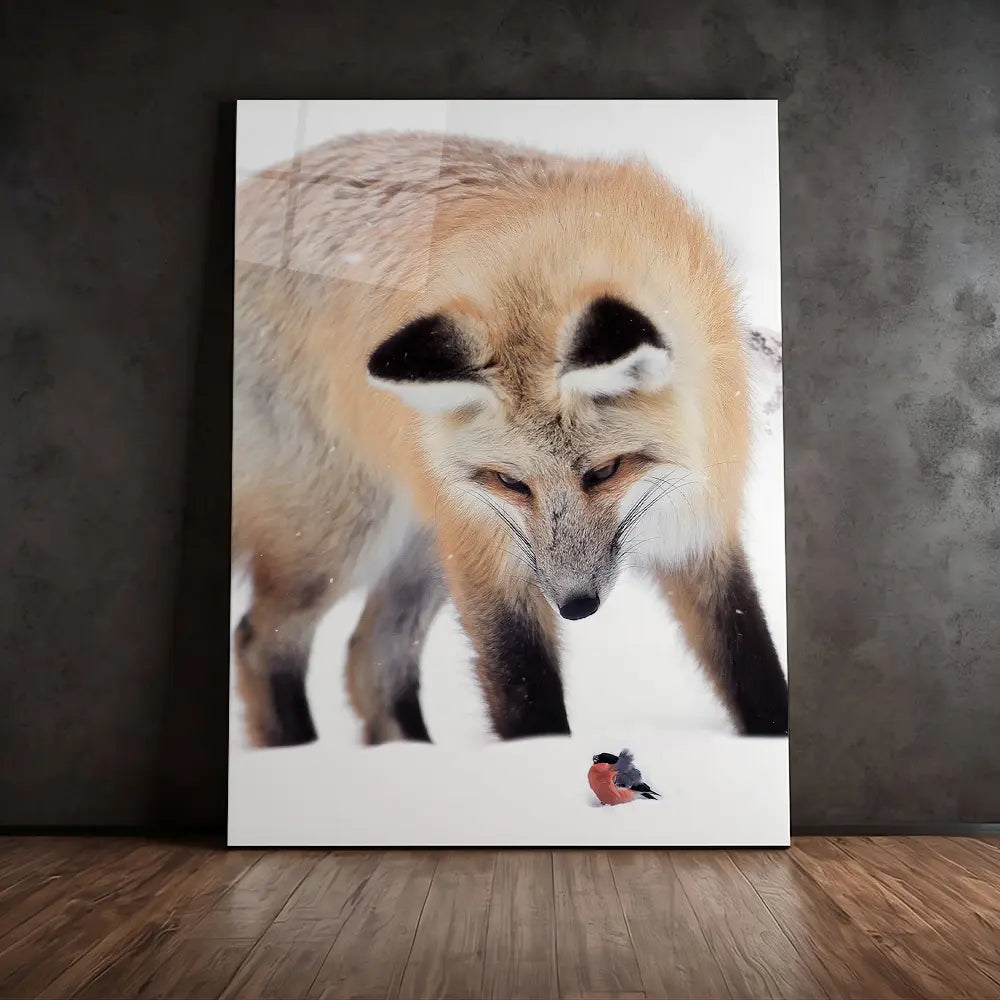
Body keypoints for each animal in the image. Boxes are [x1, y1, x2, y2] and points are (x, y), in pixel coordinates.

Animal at [232, 130, 789, 748]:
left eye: (604, 471)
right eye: (509, 481)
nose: (576, 605)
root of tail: (255, 192)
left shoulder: (700, 531)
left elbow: (752, 669)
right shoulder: (490, 556)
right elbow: (524, 691)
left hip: (421, 546)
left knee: (370, 657)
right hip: (342, 538)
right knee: (262, 641)